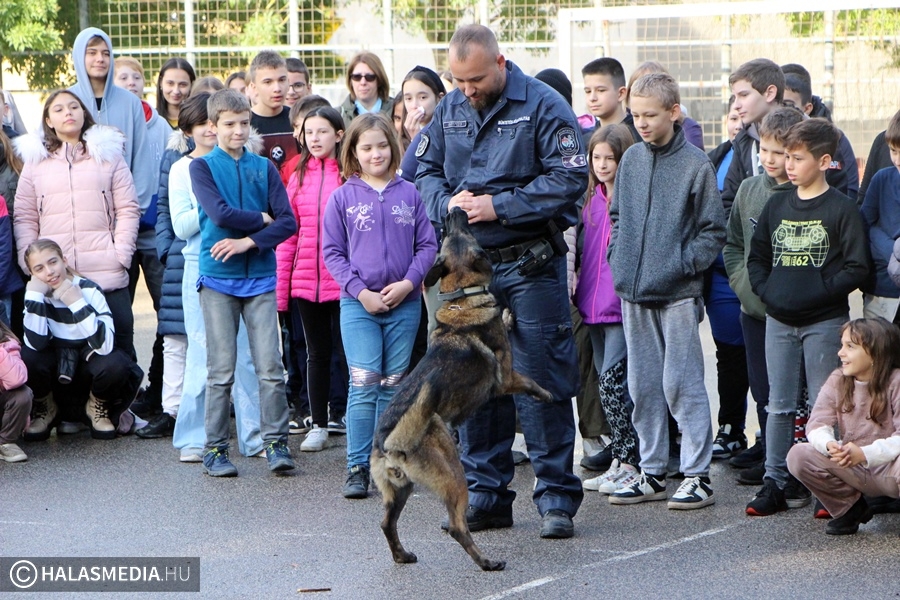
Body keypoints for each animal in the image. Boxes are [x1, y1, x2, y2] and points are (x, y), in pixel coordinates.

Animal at [370, 207, 552, 572]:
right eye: (464, 235)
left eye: (450, 236)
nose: (453, 209)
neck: (461, 299)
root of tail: (388, 443)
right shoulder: (506, 377)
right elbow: (528, 381)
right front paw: (545, 393)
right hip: (455, 476)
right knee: (457, 526)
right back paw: (487, 562)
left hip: (400, 490)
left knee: (386, 523)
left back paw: (402, 555)